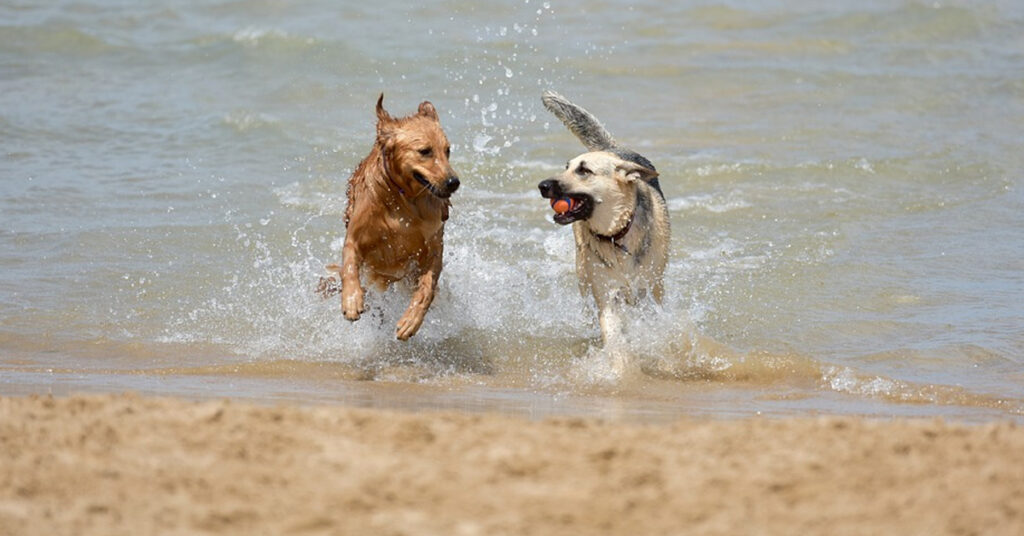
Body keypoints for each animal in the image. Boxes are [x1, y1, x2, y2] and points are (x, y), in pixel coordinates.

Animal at [319, 93, 460, 340]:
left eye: (447, 150)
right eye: (425, 151)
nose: (454, 182)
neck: (404, 200)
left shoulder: (433, 247)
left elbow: (426, 287)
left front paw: (411, 320)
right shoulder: (355, 237)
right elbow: (349, 266)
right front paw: (352, 300)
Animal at [536, 90, 671, 350]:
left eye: (583, 170)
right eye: (566, 167)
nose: (543, 186)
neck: (617, 233)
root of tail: (613, 149)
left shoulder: (649, 291)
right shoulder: (607, 295)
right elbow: (614, 337)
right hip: (583, 274)